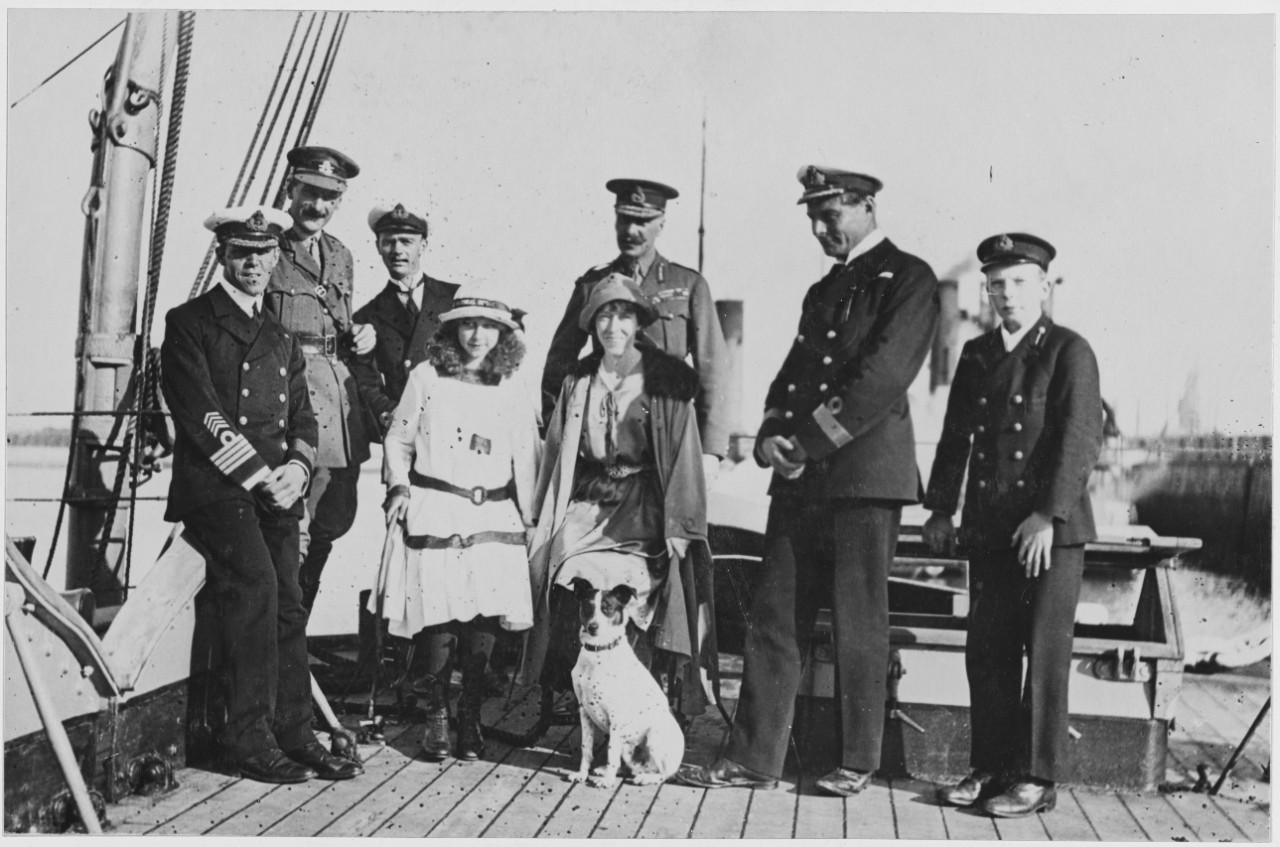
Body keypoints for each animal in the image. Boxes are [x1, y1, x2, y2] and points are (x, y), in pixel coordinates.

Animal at [570, 578, 691, 788]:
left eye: (608, 608)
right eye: (587, 607)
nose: (593, 627)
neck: (598, 652)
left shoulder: (616, 717)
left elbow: (610, 752)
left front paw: (608, 782)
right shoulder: (583, 711)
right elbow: (586, 748)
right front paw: (582, 774)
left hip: (654, 735)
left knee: (664, 774)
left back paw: (645, 778)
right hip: (627, 746)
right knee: (630, 765)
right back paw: (609, 771)